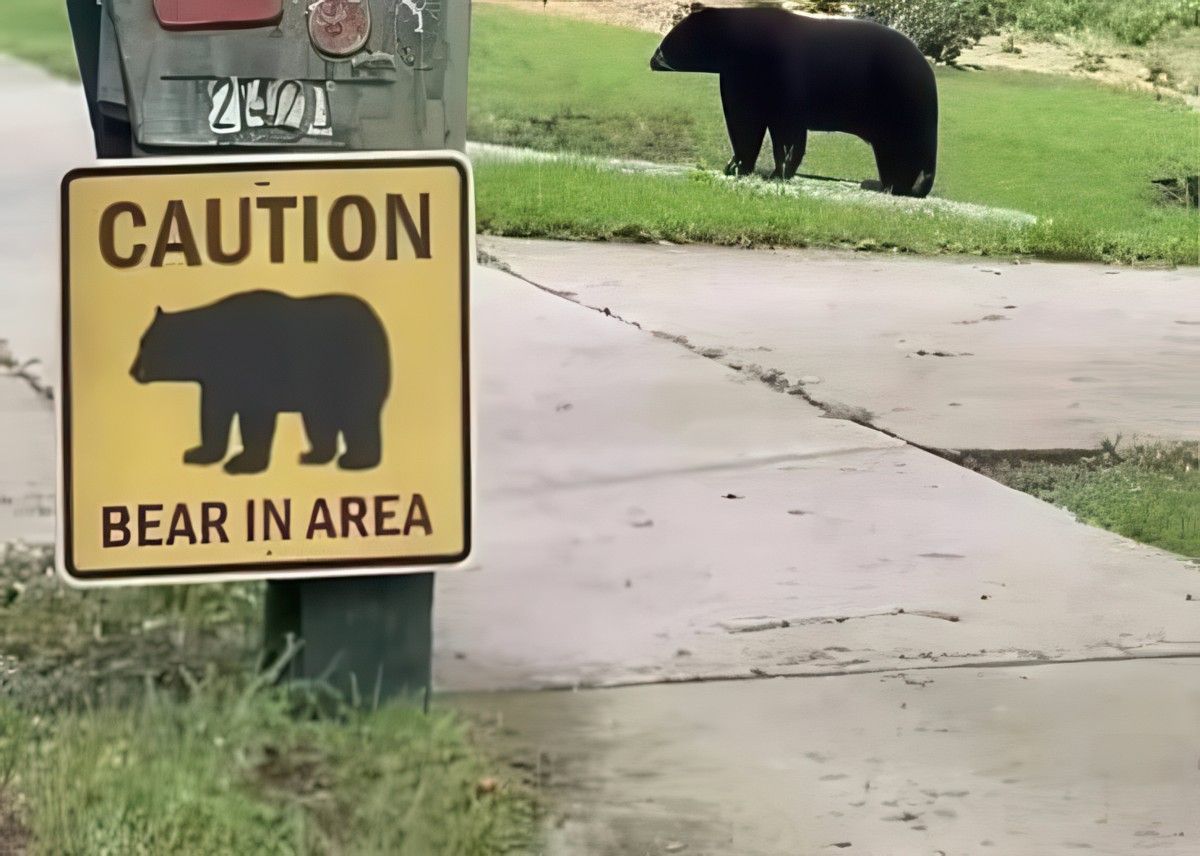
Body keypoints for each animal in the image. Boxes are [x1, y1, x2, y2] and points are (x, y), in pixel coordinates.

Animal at [131, 290, 393, 470]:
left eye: (144, 344)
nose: (132, 371)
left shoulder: (255, 365)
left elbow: (255, 415)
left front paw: (242, 463)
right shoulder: (218, 379)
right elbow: (214, 414)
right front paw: (197, 453)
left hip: (351, 367)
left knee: (358, 414)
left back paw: (356, 460)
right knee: (320, 420)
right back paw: (312, 456)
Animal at [657, 6, 936, 196]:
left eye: (673, 36)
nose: (654, 57)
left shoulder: (770, 96)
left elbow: (770, 136)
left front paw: (775, 174)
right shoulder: (743, 89)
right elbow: (753, 134)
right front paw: (740, 168)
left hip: (900, 120)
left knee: (904, 158)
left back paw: (890, 186)